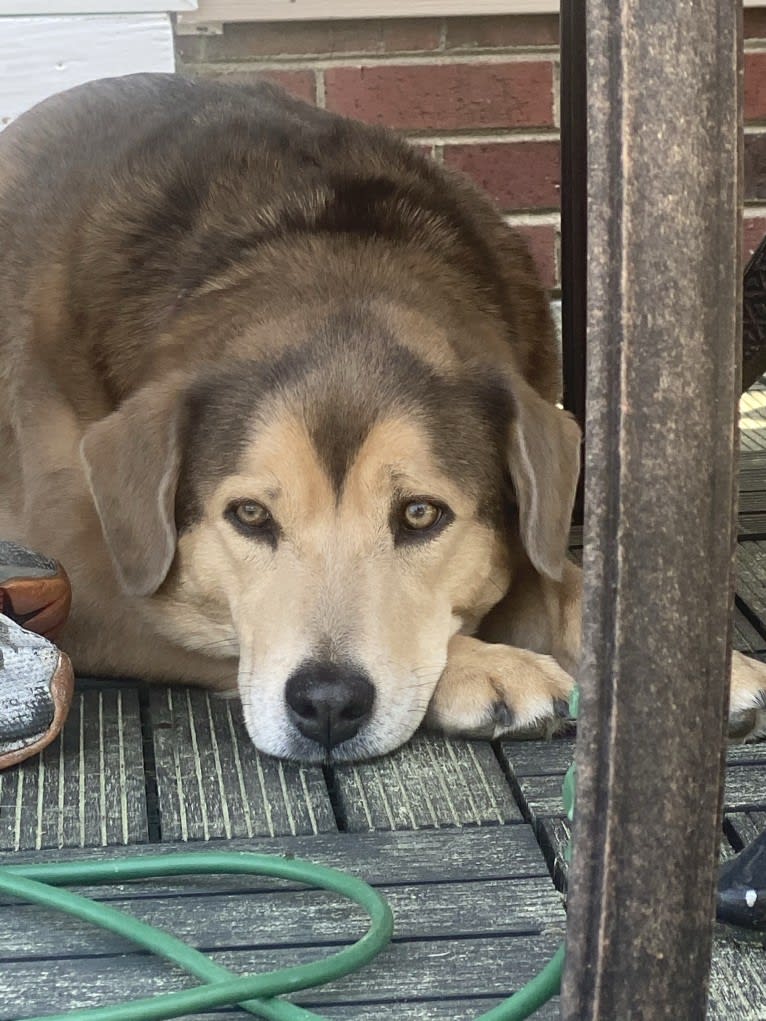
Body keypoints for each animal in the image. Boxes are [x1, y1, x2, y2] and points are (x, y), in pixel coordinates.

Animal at [1, 71, 766, 759]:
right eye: (249, 515)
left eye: (421, 514)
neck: (329, 247)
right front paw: (488, 664)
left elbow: (560, 580)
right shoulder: (86, 574)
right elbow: (204, 626)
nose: (327, 703)